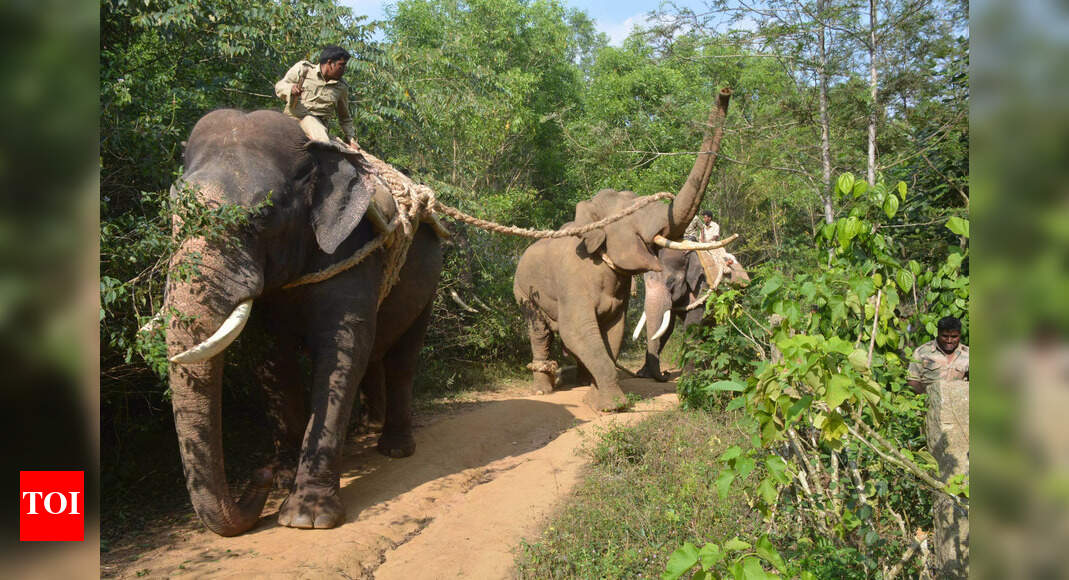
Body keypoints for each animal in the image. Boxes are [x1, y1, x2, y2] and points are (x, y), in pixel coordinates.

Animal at [164, 108, 443, 536]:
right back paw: (365, 431)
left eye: (263, 216)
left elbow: (342, 350)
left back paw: (395, 448)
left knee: (401, 359)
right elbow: (270, 358)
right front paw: (281, 477)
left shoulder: (352, 250)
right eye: (172, 212)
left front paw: (305, 518)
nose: (258, 476)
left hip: (429, 282)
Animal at [513, 88, 734, 411]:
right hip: (524, 293)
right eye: (630, 215)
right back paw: (543, 390)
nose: (724, 91)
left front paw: (596, 398)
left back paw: (580, 381)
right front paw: (612, 406)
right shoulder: (572, 281)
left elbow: (613, 333)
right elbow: (577, 330)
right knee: (539, 331)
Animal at [634, 248, 750, 381]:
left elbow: (691, 326)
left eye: (670, 281)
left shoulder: (702, 286)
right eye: (644, 282)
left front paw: (688, 378)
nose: (666, 373)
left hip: (737, 297)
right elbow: (667, 328)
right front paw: (642, 374)